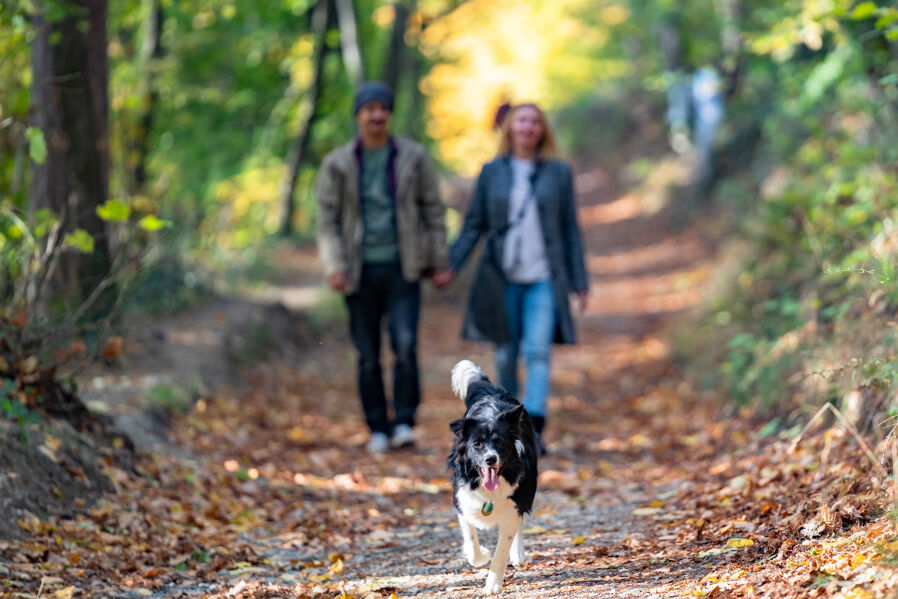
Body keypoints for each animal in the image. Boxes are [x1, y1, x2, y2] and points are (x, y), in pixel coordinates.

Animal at [444, 360, 536, 596]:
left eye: (500, 442)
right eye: (476, 444)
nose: (490, 459)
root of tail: (492, 391)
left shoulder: (515, 504)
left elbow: (502, 550)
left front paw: (493, 584)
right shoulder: (463, 502)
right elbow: (471, 542)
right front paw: (482, 554)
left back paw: (518, 554)